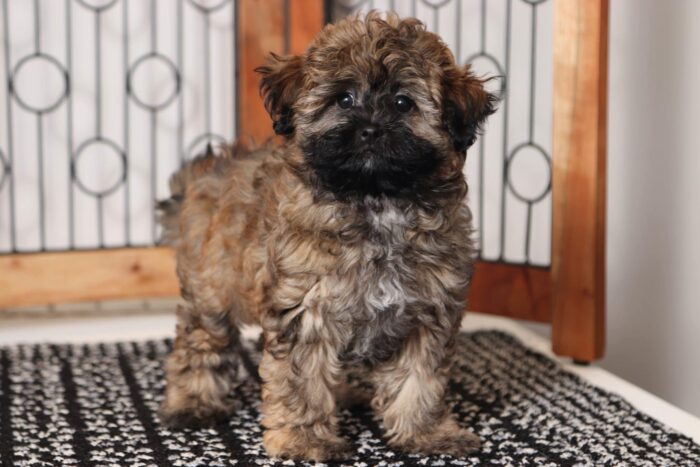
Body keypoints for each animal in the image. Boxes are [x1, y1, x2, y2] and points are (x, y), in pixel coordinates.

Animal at [159, 11, 498, 464]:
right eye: (344, 99)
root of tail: (206, 172)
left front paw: (426, 433)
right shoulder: (305, 310)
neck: (375, 200)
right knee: (201, 343)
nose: (370, 130)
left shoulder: (429, 311)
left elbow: (420, 378)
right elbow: (302, 380)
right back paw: (192, 402)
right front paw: (306, 440)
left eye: (403, 103)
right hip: (211, 287)